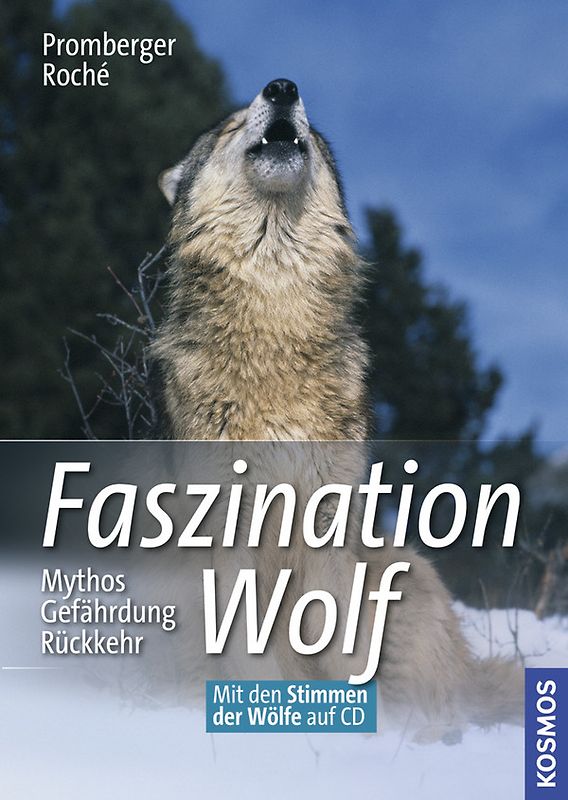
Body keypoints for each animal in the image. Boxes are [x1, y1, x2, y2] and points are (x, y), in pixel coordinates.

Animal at [151, 79, 523, 740]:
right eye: (231, 126)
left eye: (314, 132)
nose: (281, 88)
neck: (273, 320)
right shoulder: (225, 534)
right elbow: (245, 648)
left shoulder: (328, 526)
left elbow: (339, 643)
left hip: (402, 576)